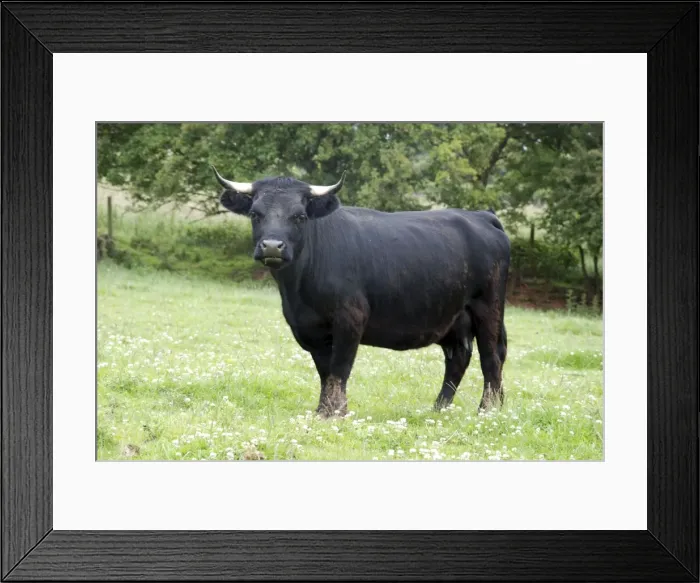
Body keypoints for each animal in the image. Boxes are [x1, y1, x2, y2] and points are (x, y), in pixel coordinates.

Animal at [213, 167, 510, 418]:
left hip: (488, 308)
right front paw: (323, 410)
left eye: (299, 216)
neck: (297, 291)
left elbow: (339, 368)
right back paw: (439, 408)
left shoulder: (350, 319)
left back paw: (487, 410)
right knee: (458, 357)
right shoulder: (310, 329)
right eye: (255, 214)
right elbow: (325, 372)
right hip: (453, 318)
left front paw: (337, 412)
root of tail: (481, 216)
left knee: (491, 358)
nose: (272, 246)